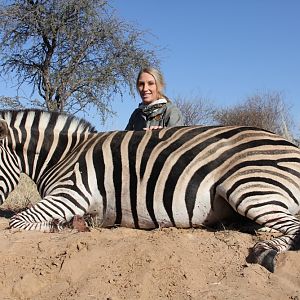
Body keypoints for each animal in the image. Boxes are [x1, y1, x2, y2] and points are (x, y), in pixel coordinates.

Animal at [0, 109, 300, 274]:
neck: (62, 156)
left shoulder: (71, 194)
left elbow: (17, 221)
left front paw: (66, 225)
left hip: (246, 187)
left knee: (294, 229)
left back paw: (264, 248)